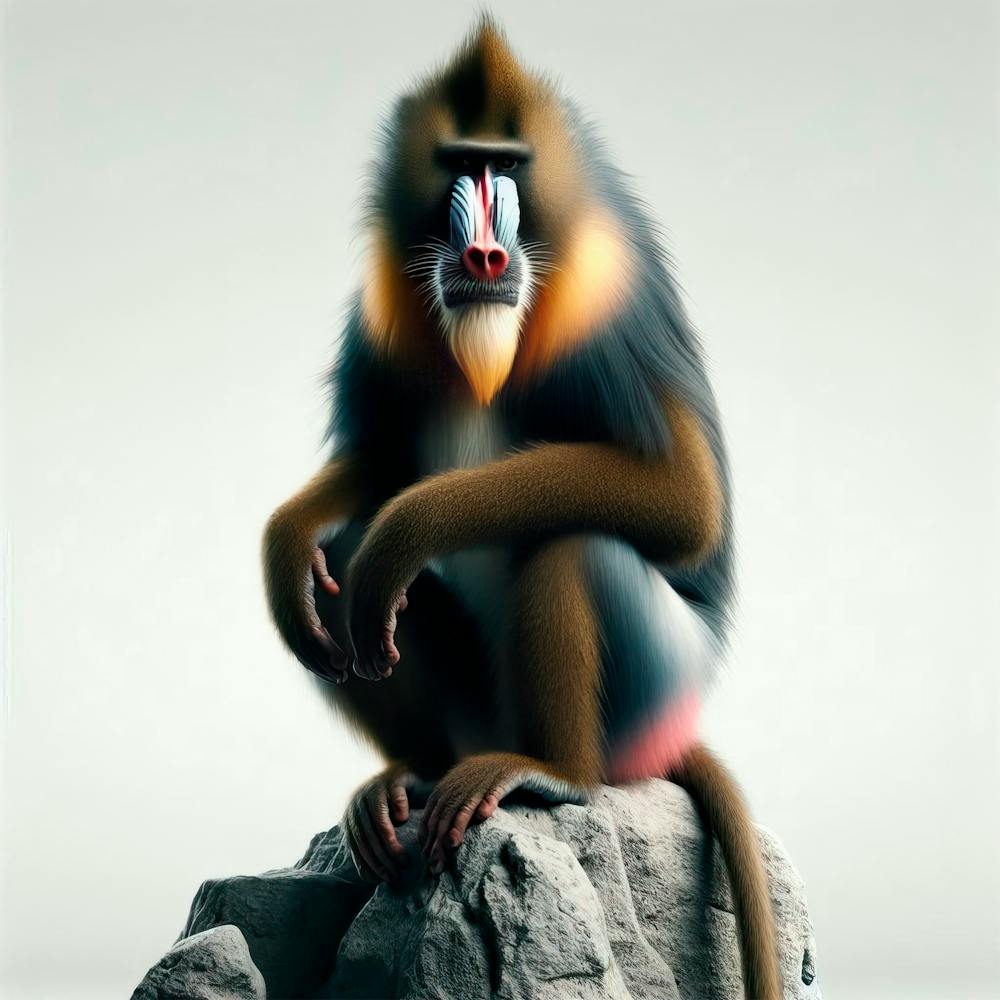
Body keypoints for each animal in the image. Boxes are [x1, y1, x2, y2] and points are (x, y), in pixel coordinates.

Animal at [262, 18, 782, 1000]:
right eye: (460, 163)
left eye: (507, 168)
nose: (484, 256)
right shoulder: (379, 308)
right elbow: (373, 471)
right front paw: (285, 548)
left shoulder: (611, 301)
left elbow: (687, 504)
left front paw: (407, 531)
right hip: (473, 712)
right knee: (340, 573)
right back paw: (404, 781)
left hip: (658, 683)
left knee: (573, 542)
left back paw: (554, 775)